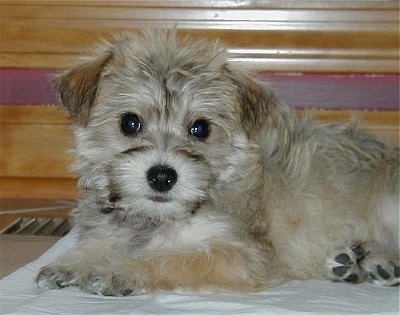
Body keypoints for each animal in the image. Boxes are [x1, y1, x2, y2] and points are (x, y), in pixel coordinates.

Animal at [36, 29, 398, 296]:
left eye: (200, 128)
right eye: (129, 123)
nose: (162, 176)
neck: (155, 218)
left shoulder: (242, 255)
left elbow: (172, 259)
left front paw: (121, 270)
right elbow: (104, 241)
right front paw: (74, 262)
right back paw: (358, 262)